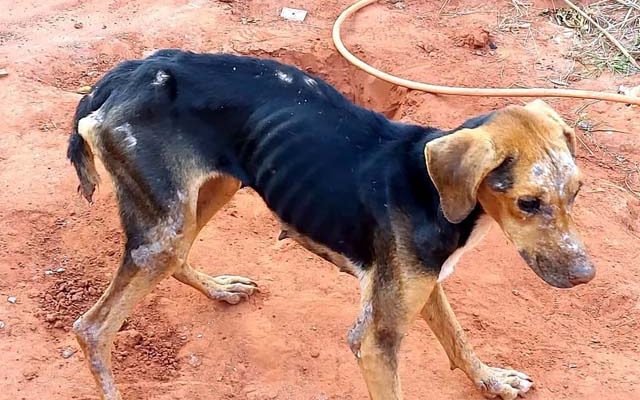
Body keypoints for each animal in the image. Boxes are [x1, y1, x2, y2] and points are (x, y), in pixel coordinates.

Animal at [69, 50, 596, 400]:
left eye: (576, 191)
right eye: (529, 202)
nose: (585, 276)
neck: (432, 193)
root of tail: (129, 73)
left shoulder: (423, 285)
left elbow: (458, 339)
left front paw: (493, 380)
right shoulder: (375, 341)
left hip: (208, 194)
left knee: (178, 259)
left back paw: (219, 288)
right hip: (164, 228)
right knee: (92, 328)